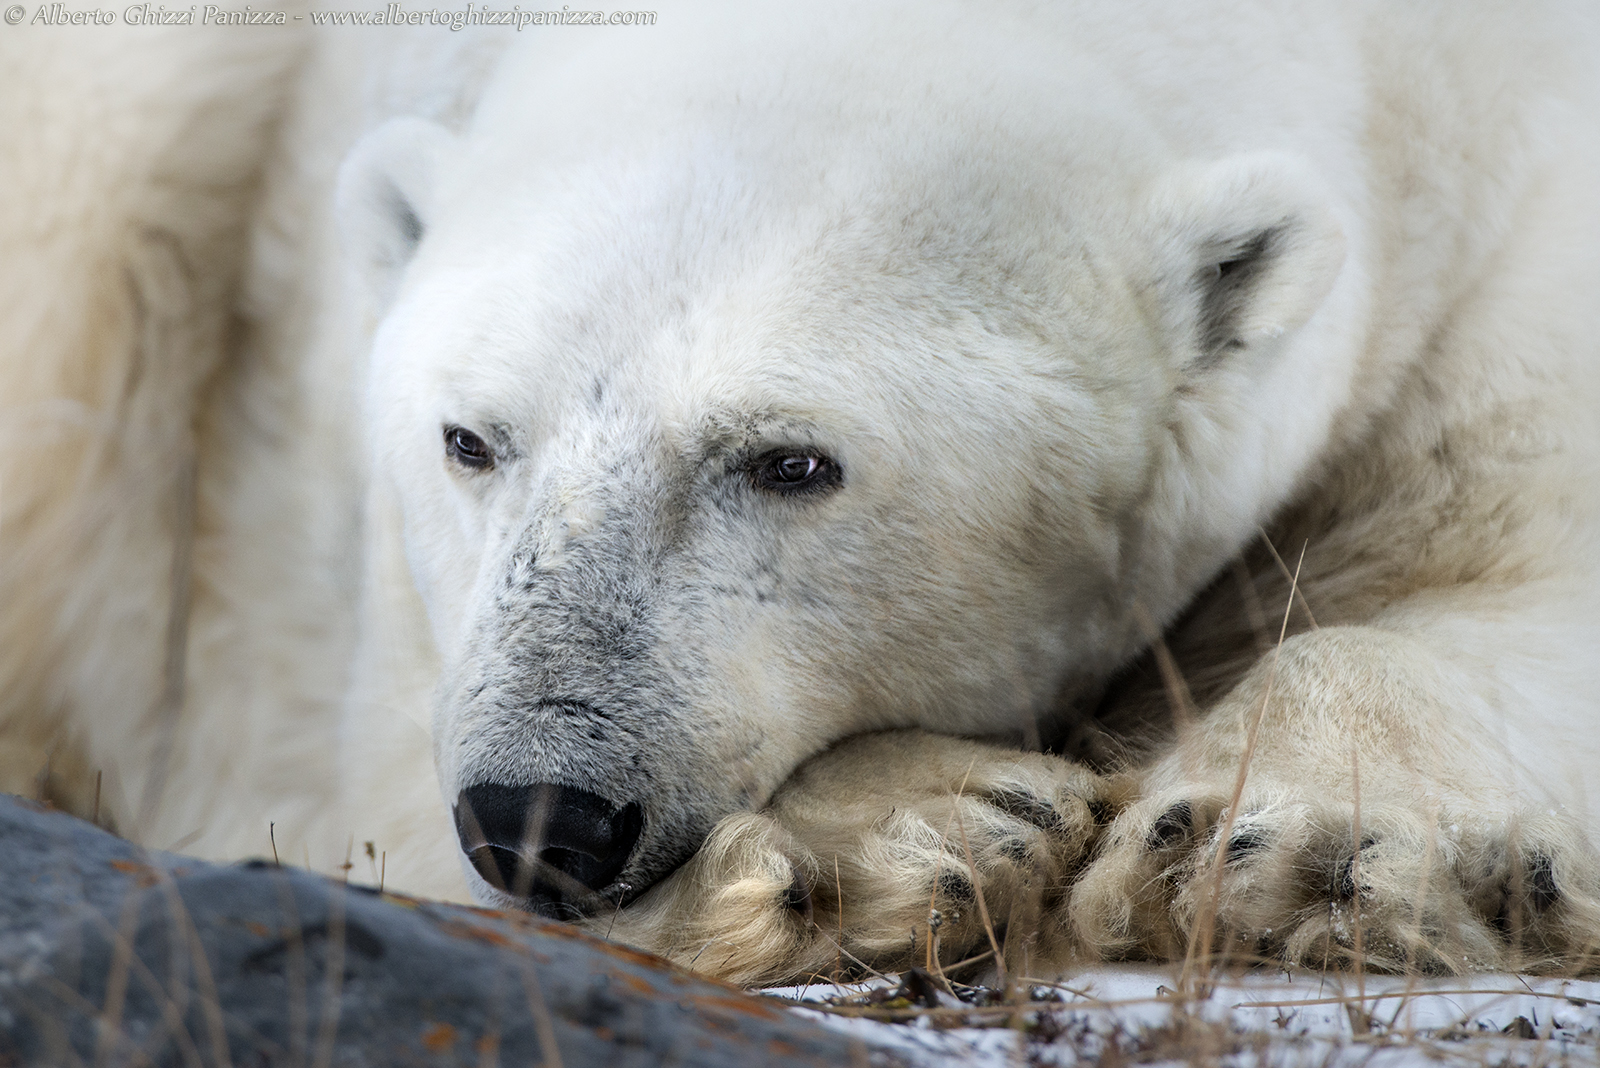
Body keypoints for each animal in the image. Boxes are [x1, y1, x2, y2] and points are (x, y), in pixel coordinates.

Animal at [4, 0, 1600, 988]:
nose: (536, 813)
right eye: (470, 439)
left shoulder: (1513, 202)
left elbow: (1526, 562)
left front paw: (1290, 845)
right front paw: (902, 833)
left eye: (790, 463)